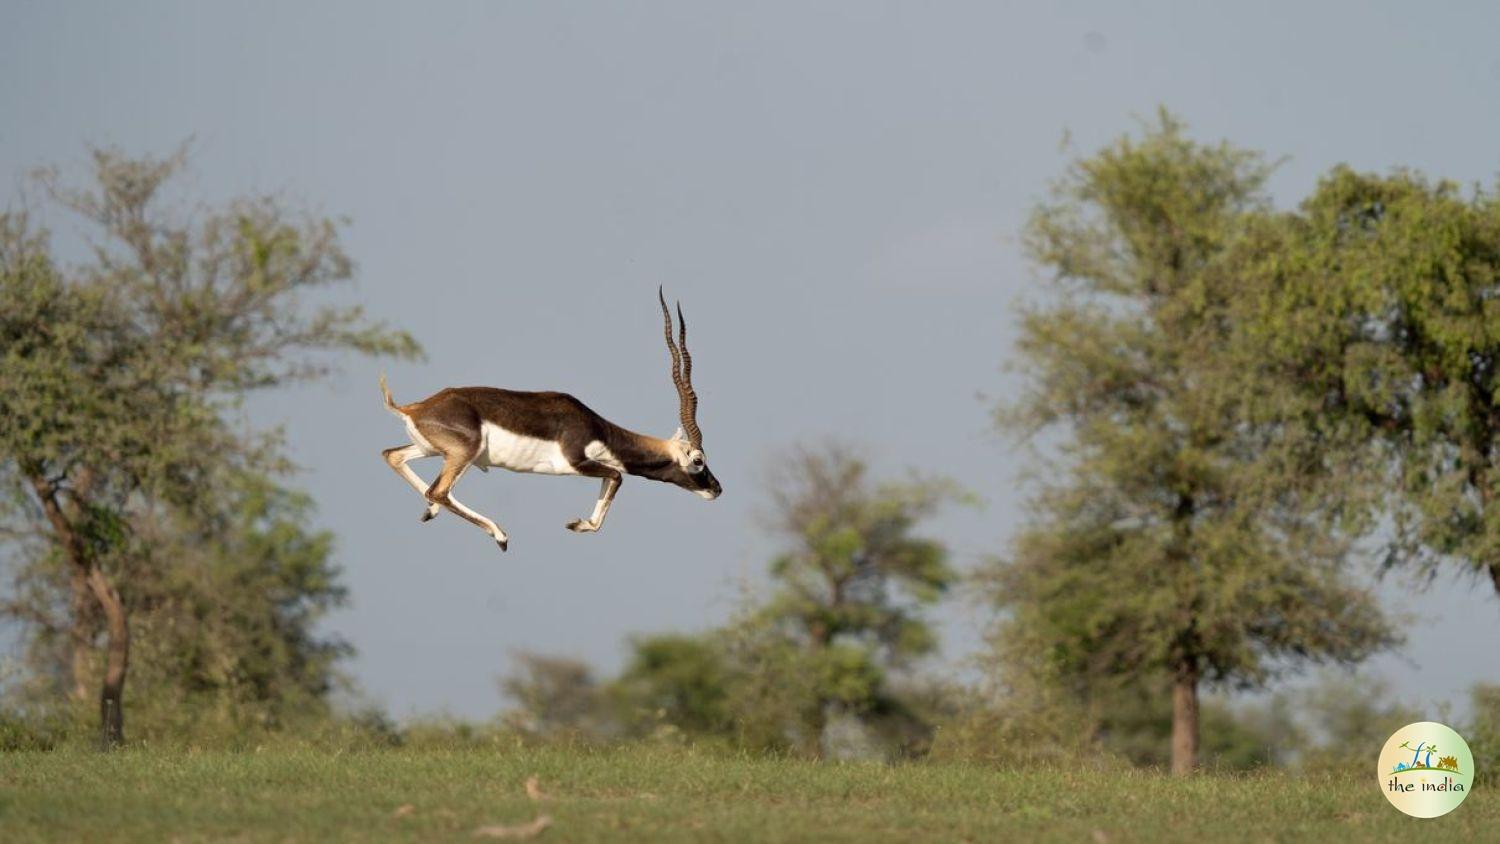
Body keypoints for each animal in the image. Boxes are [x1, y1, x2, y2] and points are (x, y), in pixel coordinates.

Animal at [381, 290, 720, 551]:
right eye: (698, 460)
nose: (717, 489)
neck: (598, 428)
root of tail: (413, 408)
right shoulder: (576, 462)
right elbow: (617, 477)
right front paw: (577, 524)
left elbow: (612, 479)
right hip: (464, 453)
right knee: (438, 490)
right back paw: (500, 535)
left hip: (432, 450)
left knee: (394, 457)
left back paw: (431, 512)